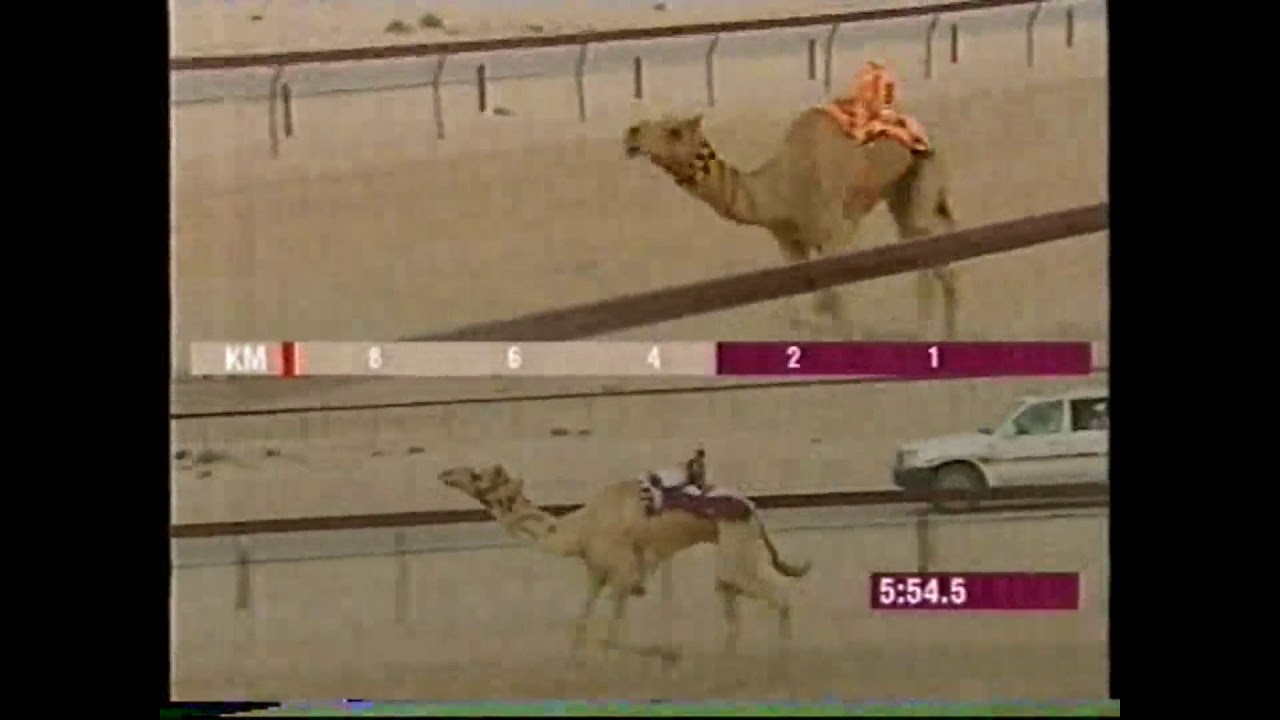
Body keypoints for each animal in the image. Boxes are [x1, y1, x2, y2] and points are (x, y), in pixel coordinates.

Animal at [437, 463, 810, 668]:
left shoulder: (623, 576)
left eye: (476, 475)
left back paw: (783, 660)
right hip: (733, 552)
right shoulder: (596, 574)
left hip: (736, 547)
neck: (577, 531)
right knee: (732, 599)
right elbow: (580, 627)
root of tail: (753, 509)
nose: (445, 473)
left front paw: (670, 654)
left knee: (779, 596)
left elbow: (609, 638)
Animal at [623, 109, 959, 339]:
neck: (780, 190)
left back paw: (927, 333)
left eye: (674, 131)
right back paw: (948, 333)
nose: (632, 133)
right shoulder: (788, 242)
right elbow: (803, 307)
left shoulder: (836, 233)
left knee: (926, 255)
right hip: (899, 191)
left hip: (921, 178)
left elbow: (830, 299)